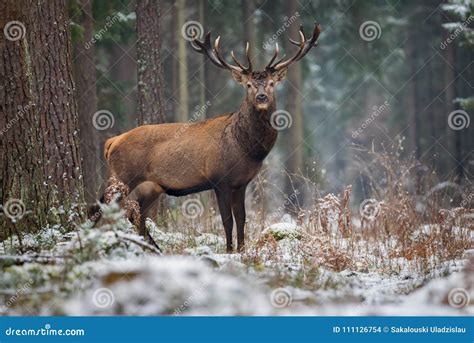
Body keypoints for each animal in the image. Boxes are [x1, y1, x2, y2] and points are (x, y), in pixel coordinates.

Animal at [90, 21, 320, 253]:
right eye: (248, 85)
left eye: (272, 83)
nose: (262, 97)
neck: (248, 149)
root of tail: (112, 142)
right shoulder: (220, 180)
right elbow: (227, 220)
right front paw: (229, 250)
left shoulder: (241, 183)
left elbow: (242, 219)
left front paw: (241, 250)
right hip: (122, 176)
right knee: (99, 208)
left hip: (150, 186)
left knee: (136, 215)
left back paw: (153, 248)